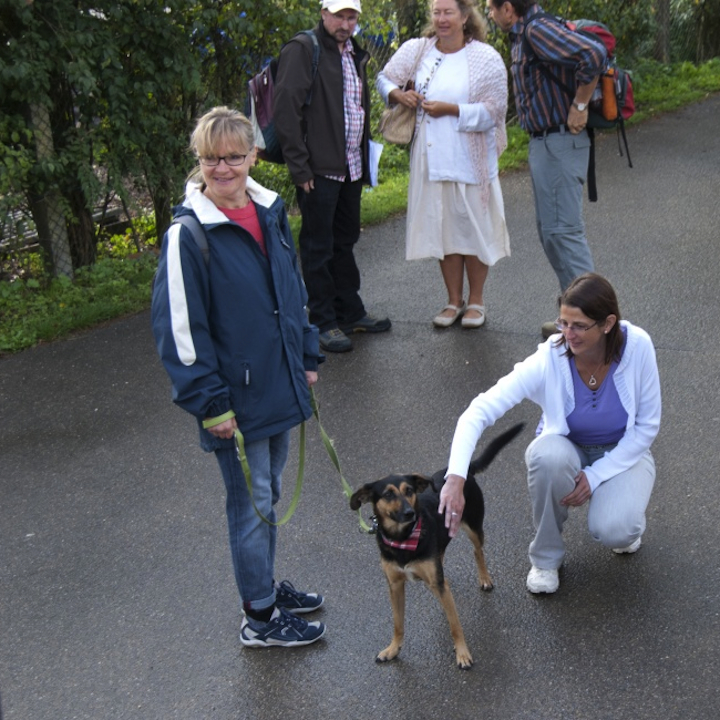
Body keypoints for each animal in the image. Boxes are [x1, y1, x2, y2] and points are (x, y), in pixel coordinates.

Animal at [350, 423, 524, 670]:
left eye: (409, 491)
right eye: (388, 494)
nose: (409, 513)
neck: (403, 538)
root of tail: (461, 470)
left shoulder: (438, 584)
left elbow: (455, 625)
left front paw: (462, 653)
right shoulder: (395, 585)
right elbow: (398, 623)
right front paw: (393, 649)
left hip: (473, 527)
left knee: (477, 551)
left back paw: (485, 578)